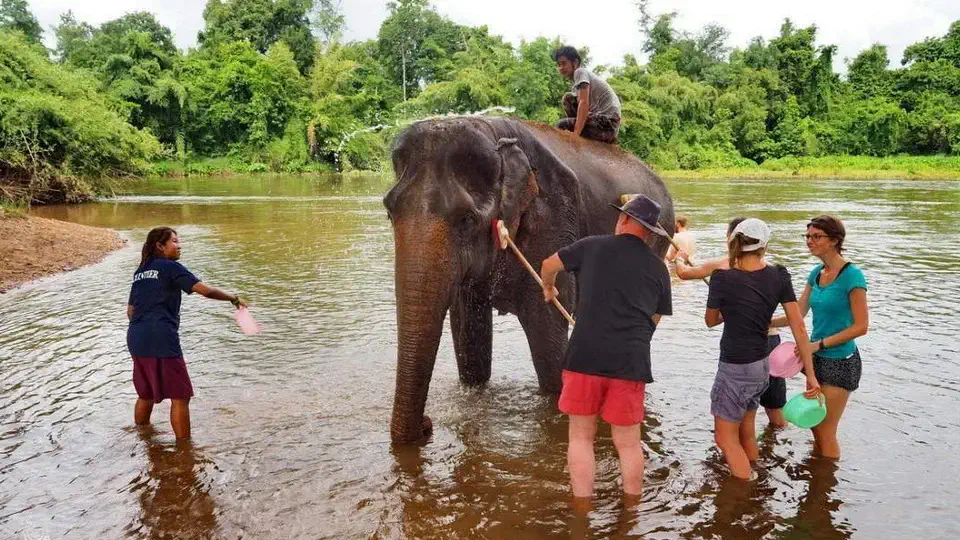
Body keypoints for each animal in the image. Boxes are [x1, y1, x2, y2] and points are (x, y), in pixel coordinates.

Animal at [383, 116, 674, 444]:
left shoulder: (553, 220)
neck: (496, 136)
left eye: (466, 219)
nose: (427, 425)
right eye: (389, 212)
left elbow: (548, 342)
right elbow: (469, 343)